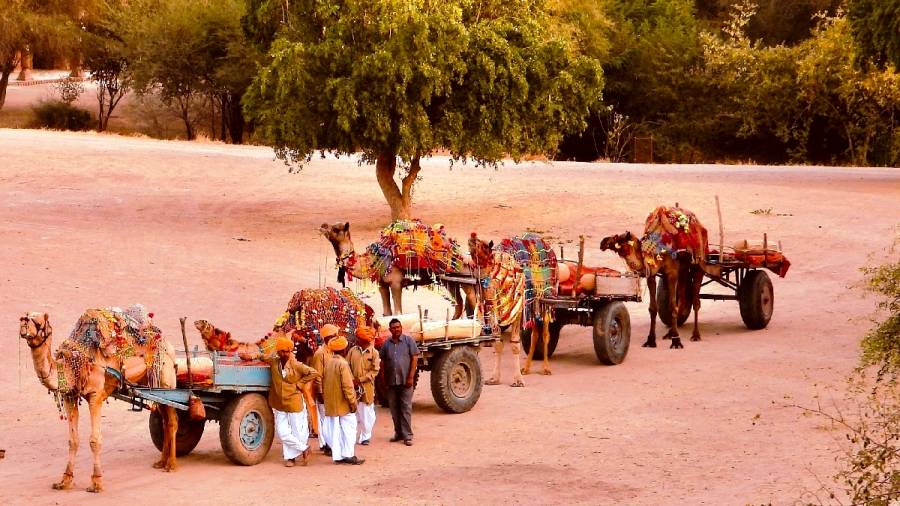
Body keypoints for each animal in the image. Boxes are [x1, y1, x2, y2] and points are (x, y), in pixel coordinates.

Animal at [19, 307, 179, 493]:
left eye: (38, 321)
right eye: (25, 316)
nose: (23, 323)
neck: (75, 364)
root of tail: (168, 344)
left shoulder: (95, 395)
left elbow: (94, 440)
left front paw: (96, 482)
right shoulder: (70, 395)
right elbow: (73, 440)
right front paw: (64, 481)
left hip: (166, 380)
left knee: (172, 420)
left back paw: (171, 465)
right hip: (152, 385)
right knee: (164, 419)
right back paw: (161, 462)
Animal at [319, 221, 477, 318]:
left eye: (336, 229)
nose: (322, 226)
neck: (375, 259)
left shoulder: (396, 283)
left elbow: (398, 313)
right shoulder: (382, 284)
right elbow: (387, 313)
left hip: (464, 277)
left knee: (472, 298)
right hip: (448, 280)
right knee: (459, 302)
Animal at [469, 233, 557, 386]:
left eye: (485, 246)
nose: (472, 237)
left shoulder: (517, 309)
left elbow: (515, 345)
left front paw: (518, 380)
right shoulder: (494, 310)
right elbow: (498, 343)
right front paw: (494, 378)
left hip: (545, 300)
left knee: (545, 334)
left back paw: (546, 368)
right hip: (533, 306)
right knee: (535, 334)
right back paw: (526, 368)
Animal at [600, 205, 712, 349]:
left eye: (616, 240)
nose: (602, 242)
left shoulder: (672, 272)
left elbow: (672, 306)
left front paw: (676, 341)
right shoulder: (651, 274)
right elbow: (653, 308)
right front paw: (651, 340)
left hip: (699, 263)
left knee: (695, 301)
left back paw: (695, 335)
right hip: (684, 270)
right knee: (683, 296)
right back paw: (670, 333)